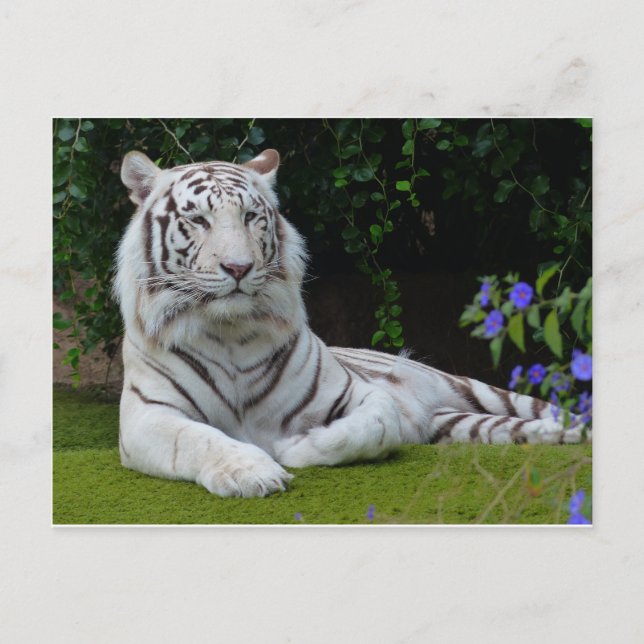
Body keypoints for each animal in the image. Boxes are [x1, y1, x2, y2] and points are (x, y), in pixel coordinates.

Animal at [115, 148, 588, 498]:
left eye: (250, 216)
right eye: (198, 219)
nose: (238, 267)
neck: (230, 331)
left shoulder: (359, 393)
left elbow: (373, 427)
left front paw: (293, 448)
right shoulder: (146, 416)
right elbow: (198, 439)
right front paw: (253, 472)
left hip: (472, 387)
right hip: (459, 424)